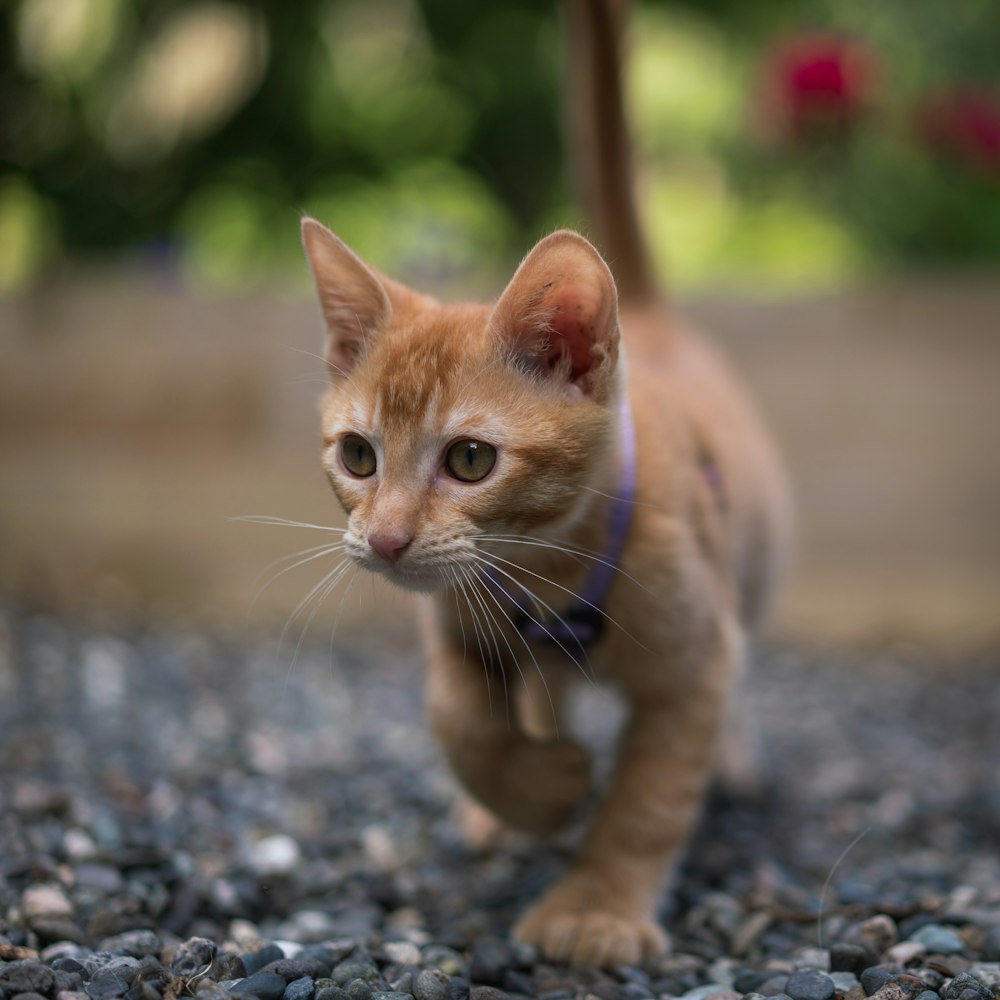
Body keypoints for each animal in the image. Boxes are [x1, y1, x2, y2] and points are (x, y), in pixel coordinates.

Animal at [296, 0, 788, 972]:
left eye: (470, 461)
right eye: (359, 456)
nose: (386, 541)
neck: (548, 578)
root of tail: (650, 319)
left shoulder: (695, 664)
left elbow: (648, 796)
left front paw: (595, 906)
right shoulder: (452, 622)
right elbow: (459, 718)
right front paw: (542, 785)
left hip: (751, 574)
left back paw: (733, 761)